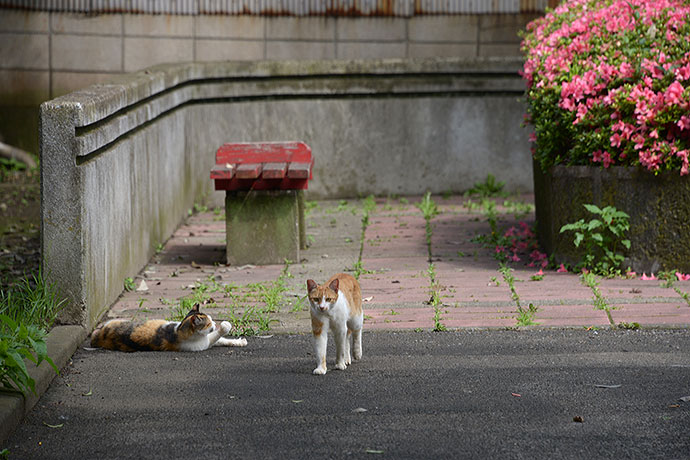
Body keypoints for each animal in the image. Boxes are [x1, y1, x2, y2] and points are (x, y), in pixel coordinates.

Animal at [87, 306, 246, 352]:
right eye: (208, 323)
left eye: (212, 319)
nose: (214, 323)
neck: (177, 331)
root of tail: (96, 337)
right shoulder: (202, 343)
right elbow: (216, 336)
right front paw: (225, 326)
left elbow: (222, 340)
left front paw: (238, 342)